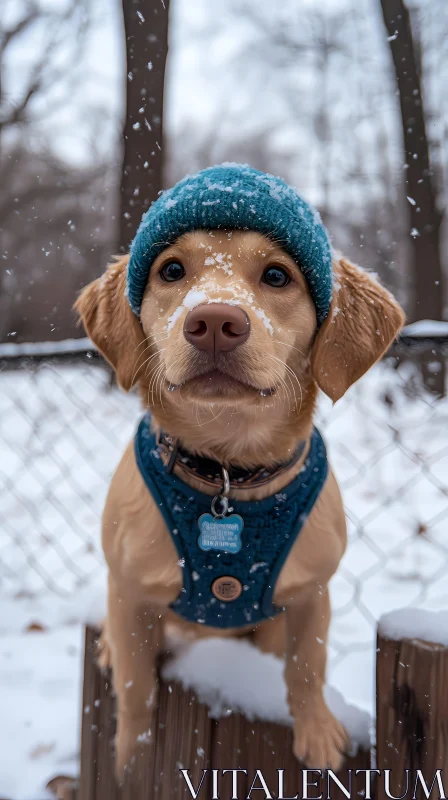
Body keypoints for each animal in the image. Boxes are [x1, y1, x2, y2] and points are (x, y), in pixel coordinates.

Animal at [75, 167, 404, 776]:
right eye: (171, 270)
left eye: (277, 275)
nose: (214, 321)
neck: (228, 471)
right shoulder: (129, 593)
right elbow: (135, 686)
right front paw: (132, 753)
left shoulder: (310, 593)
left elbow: (306, 667)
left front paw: (318, 731)